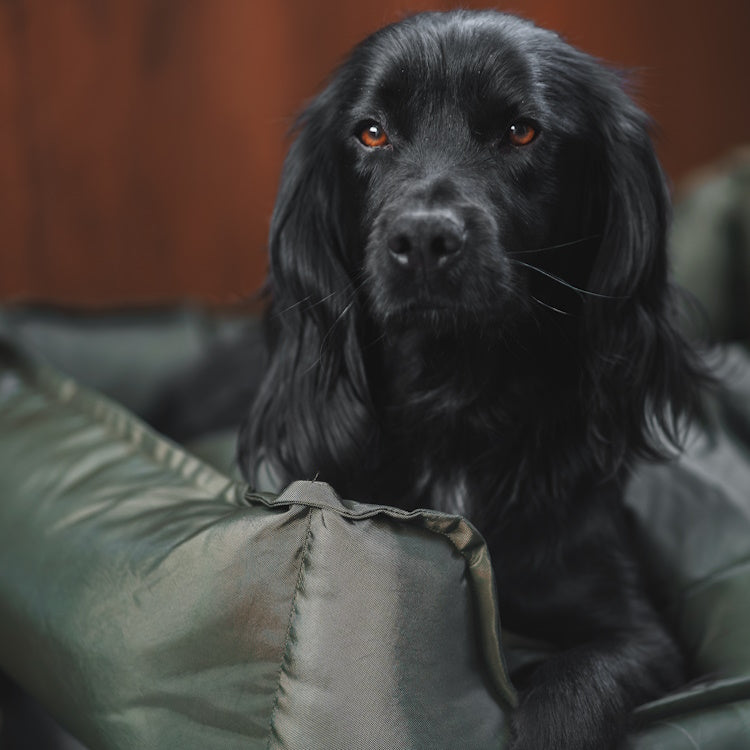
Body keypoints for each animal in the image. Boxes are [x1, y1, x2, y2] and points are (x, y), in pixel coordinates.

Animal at [238, 11, 708, 750]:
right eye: (371, 132)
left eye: (521, 130)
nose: (424, 240)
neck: (455, 391)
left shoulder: (639, 631)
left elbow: (573, 689)